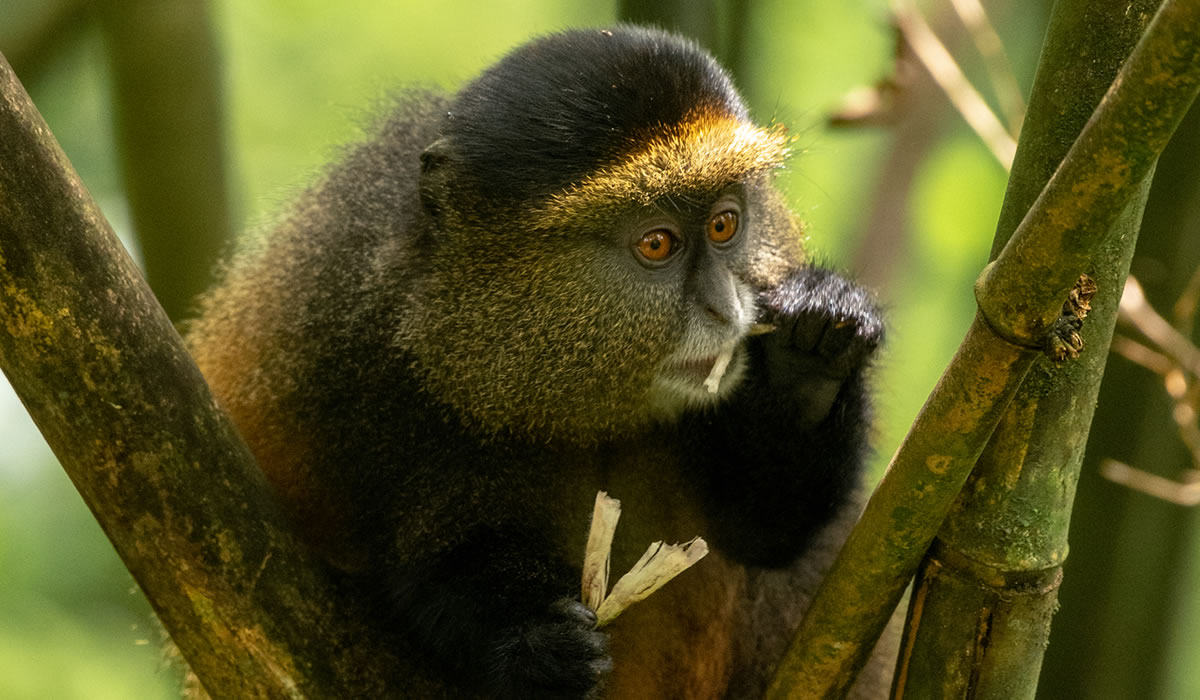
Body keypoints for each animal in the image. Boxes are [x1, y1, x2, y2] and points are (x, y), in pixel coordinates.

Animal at [185, 26, 891, 699]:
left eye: (724, 225)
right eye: (656, 243)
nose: (726, 309)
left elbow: (769, 534)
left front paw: (807, 363)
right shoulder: (347, 344)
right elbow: (433, 569)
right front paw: (532, 643)